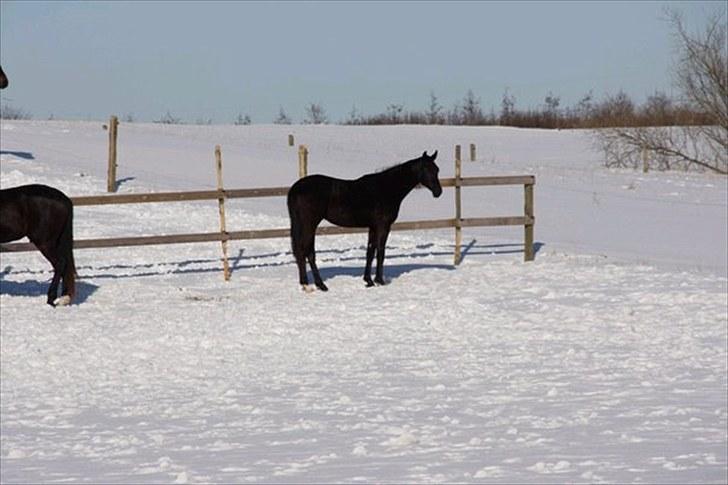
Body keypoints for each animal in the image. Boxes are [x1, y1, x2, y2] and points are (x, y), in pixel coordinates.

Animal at [288, 149, 440, 290]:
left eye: (437, 169)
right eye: (426, 169)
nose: (438, 192)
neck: (387, 188)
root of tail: (295, 188)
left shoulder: (373, 227)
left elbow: (370, 252)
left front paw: (368, 281)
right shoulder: (383, 226)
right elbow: (380, 252)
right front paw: (379, 281)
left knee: (301, 252)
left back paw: (305, 284)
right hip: (310, 224)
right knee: (308, 252)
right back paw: (319, 285)